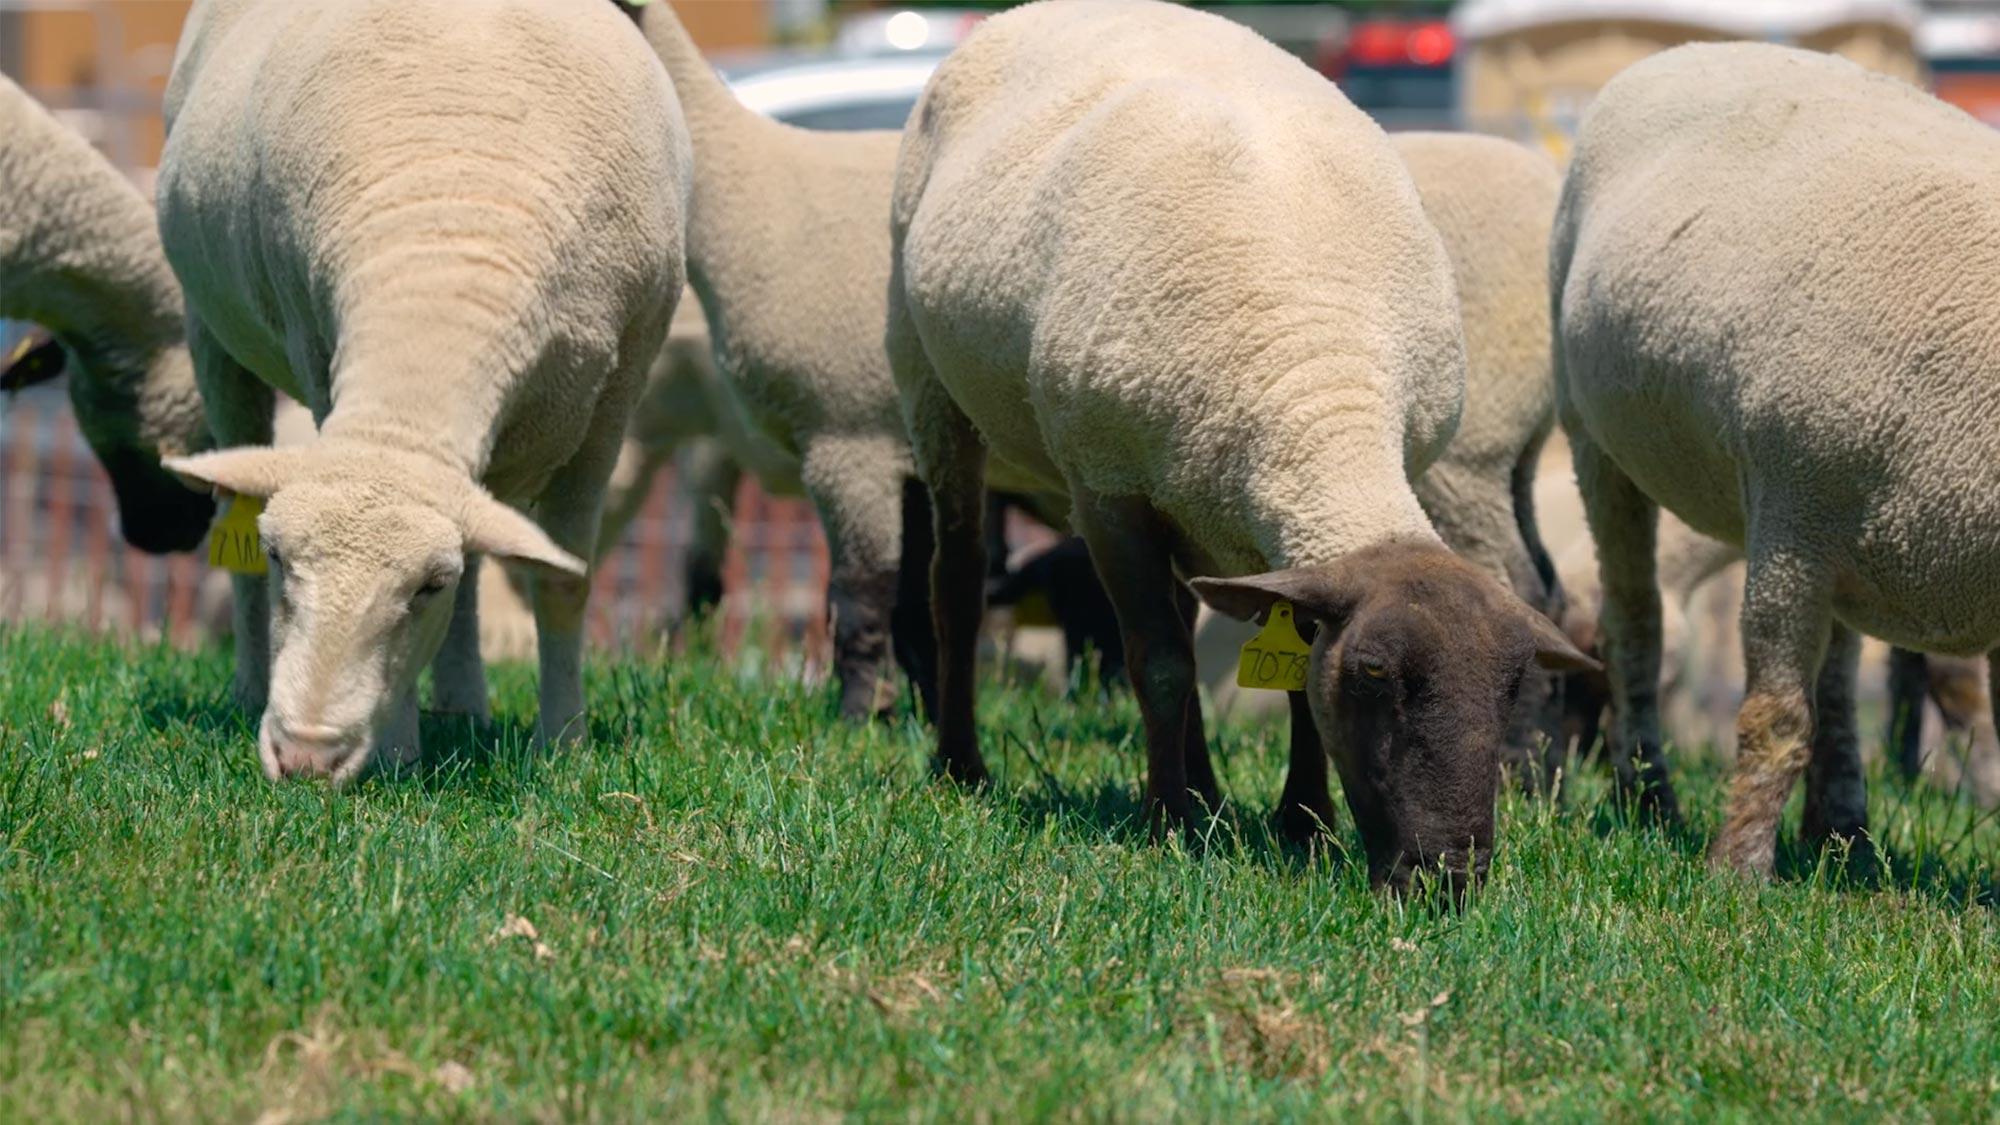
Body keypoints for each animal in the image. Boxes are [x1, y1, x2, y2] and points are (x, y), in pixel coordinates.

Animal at [156, 0, 690, 782]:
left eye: (426, 586)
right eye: (282, 557)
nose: (305, 755)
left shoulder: (617, 394)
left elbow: (563, 581)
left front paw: (564, 743)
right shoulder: (313, 346)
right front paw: (400, 751)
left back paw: (465, 704)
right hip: (211, 327)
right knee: (233, 506)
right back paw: (251, 685)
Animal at [889, 0, 1595, 890]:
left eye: (1511, 688)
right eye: (1374, 674)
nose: (1447, 876)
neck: (1319, 384)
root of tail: (1025, 14)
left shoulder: (1269, 522)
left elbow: (1288, 675)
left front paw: (1303, 823)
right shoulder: (1105, 489)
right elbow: (1157, 660)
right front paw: (1167, 821)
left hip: (1193, 484)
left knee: (1188, 606)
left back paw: (1212, 791)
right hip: (930, 377)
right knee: (957, 579)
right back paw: (965, 766)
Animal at [1552, 41, 2000, 875]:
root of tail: (1686, 49)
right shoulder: (1790, 510)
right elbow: (1775, 714)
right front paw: (1735, 873)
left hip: (1845, 523)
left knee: (1839, 679)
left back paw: (1842, 833)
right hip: (1597, 439)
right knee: (1635, 626)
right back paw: (1649, 799)